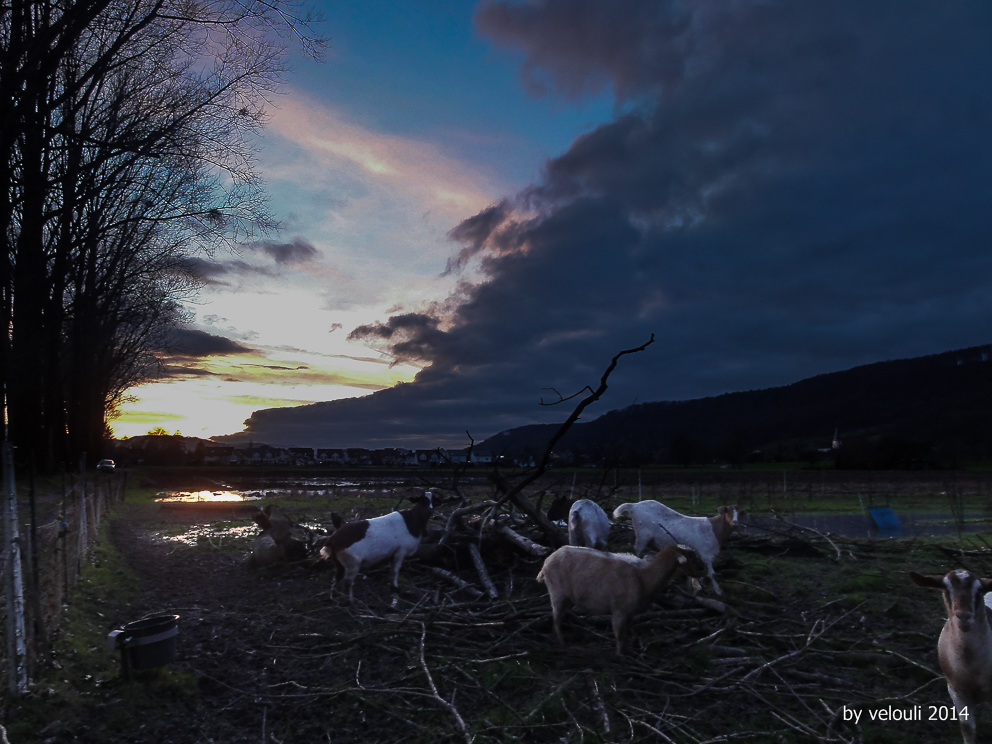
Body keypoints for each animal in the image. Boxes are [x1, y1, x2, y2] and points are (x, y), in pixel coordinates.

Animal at [540, 544, 700, 652]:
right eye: (692, 558)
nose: (703, 571)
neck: (645, 577)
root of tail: (548, 560)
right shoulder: (619, 611)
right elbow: (620, 635)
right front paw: (620, 656)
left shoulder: (630, 613)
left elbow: (627, 634)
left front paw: (627, 651)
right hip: (557, 593)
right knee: (555, 618)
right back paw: (561, 642)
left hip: (566, 597)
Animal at [612, 502, 744, 596]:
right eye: (728, 512)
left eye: (740, 513)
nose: (735, 523)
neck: (714, 529)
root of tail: (634, 506)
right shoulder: (706, 554)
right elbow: (712, 574)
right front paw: (719, 592)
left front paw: (691, 588)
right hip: (643, 534)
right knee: (637, 551)